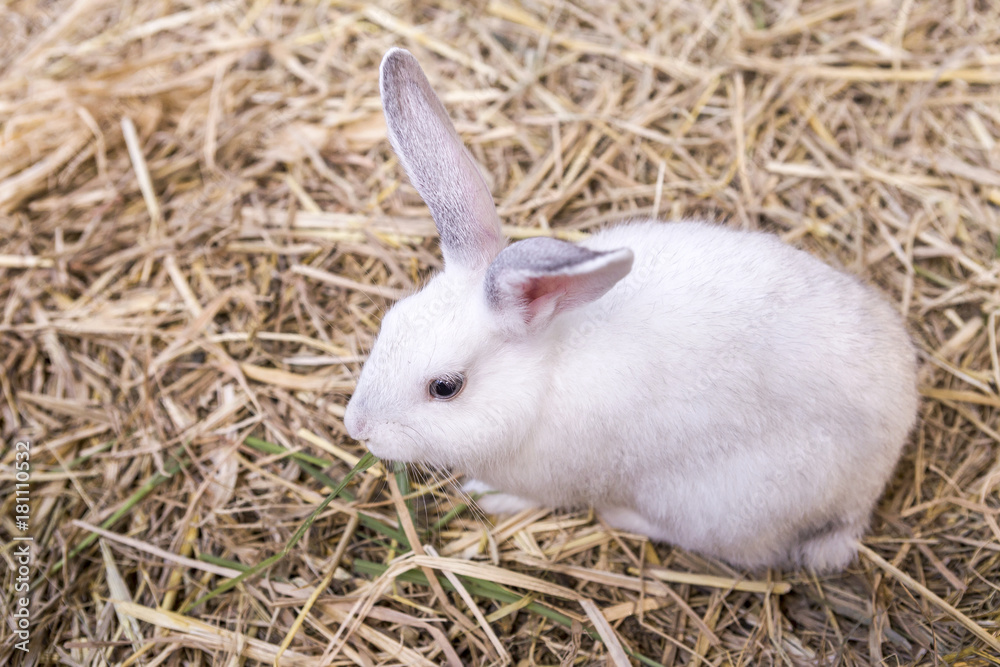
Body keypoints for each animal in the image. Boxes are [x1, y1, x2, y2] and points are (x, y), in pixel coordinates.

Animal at [343, 48, 919, 572]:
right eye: (388, 323)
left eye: (446, 387)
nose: (357, 428)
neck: (543, 374)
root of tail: (872, 481)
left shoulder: (553, 478)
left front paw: (487, 495)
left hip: (719, 506)